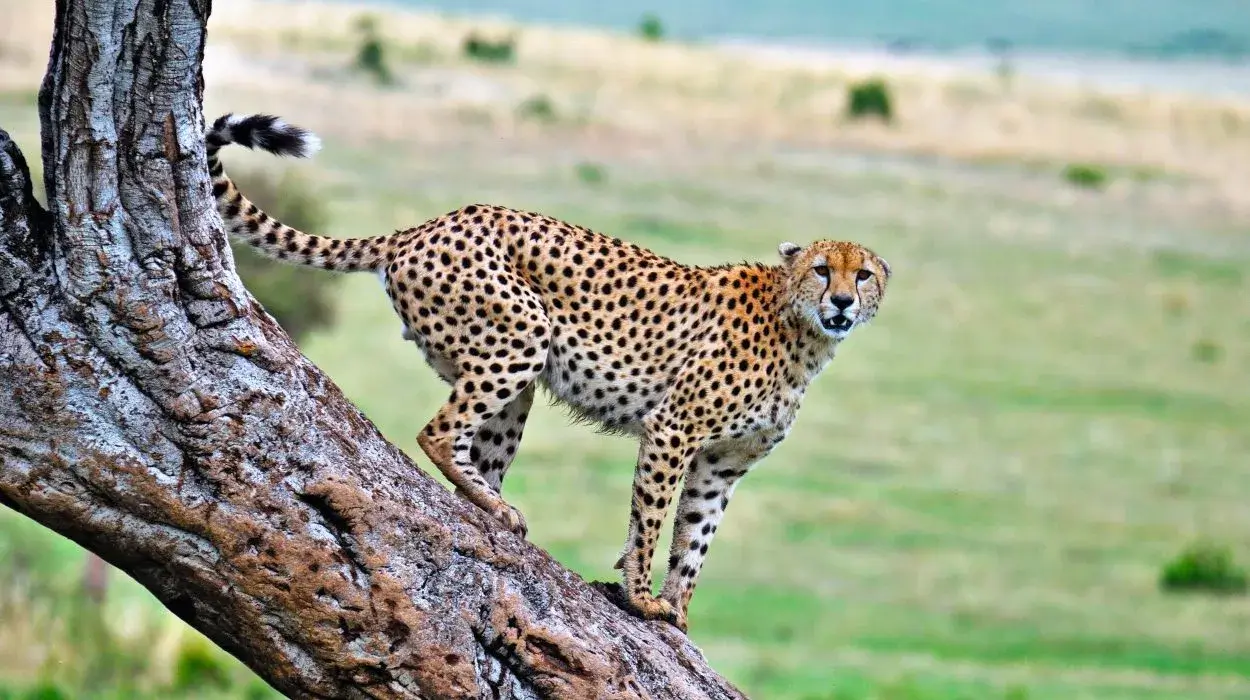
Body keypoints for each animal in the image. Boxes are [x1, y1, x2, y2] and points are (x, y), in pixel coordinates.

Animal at [205, 113, 892, 632]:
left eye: (863, 274)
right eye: (822, 270)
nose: (841, 303)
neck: (802, 334)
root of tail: (429, 224)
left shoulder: (722, 462)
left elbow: (695, 539)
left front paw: (678, 613)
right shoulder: (673, 430)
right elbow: (651, 520)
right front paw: (640, 597)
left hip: (511, 377)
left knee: (476, 445)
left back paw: (493, 503)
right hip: (523, 337)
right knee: (438, 431)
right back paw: (496, 506)